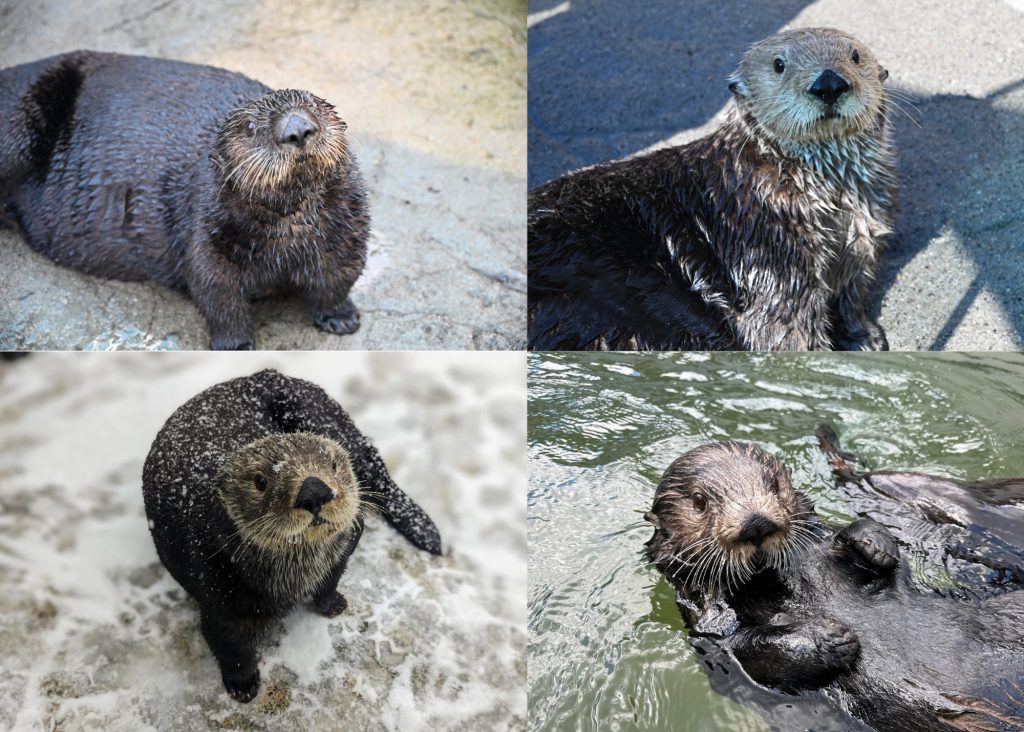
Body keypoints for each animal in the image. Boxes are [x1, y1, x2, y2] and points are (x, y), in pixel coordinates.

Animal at [0, 51, 368, 350]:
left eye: (314, 105)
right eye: (250, 126)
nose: (298, 128)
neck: (290, 231)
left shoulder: (346, 230)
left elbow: (338, 277)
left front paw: (342, 319)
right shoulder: (208, 232)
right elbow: (216, 294)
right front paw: (235, 346)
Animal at [142, 369, 441, 702]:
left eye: (333, 464)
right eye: (260, 480)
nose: (314, 490)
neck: (297, 575)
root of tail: (263, 373)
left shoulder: (343, 548)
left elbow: (332, 579)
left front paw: (333, 604)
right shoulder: (217, 591)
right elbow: (227, 643)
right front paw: (243, 686)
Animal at [529, 28, 895, 351]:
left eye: (855, 56)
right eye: (779, 64)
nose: (828, 84)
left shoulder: (861, 236)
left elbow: (853, 293)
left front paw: (864, 337)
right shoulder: (768, 250)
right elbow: (784, 325)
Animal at [645, 442, 1024, 731]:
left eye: (774, 485)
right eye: (699, 502)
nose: (756, 523)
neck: (772, 579)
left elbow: (886, 565)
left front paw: (874, 544)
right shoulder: (708, 628)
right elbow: (748, 651)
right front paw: (829, 639)